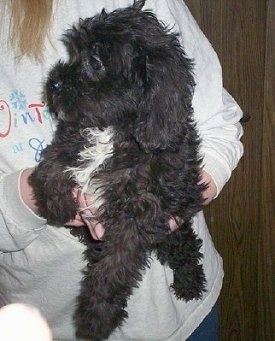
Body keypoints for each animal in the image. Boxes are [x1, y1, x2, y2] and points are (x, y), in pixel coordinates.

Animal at [29, 1, 207, 338]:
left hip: (177, 219)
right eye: (74, 51)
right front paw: (58, 207)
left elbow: (114, 267)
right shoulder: (71, 137)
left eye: (95, 62)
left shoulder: (140, 212)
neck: (113, 128)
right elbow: (49, 166)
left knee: (185, 247)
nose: (53, 83)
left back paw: (190, 283)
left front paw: (96, 317)